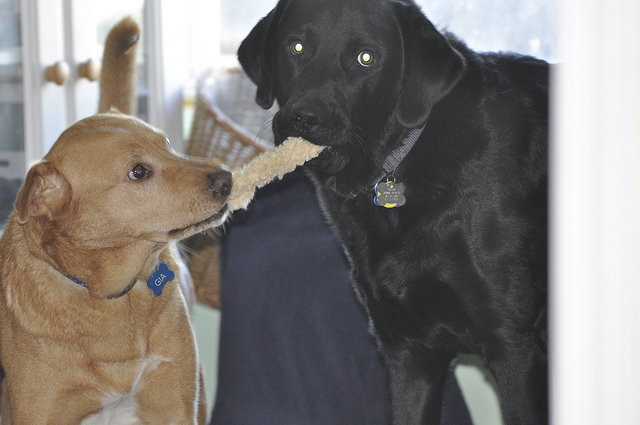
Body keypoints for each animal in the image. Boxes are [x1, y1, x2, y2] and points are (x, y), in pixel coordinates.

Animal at [0, 17, 229, 424]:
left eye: (167, 144)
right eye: (139, 172)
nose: (227, 179)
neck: (108, 294)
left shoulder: (175, 406)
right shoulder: (38, 411)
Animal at [240, 1, 552, 422]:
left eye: (366, 58)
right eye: (296, 47)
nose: (304, 119)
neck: (400, 161)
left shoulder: (515, 348)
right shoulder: (409, 352)